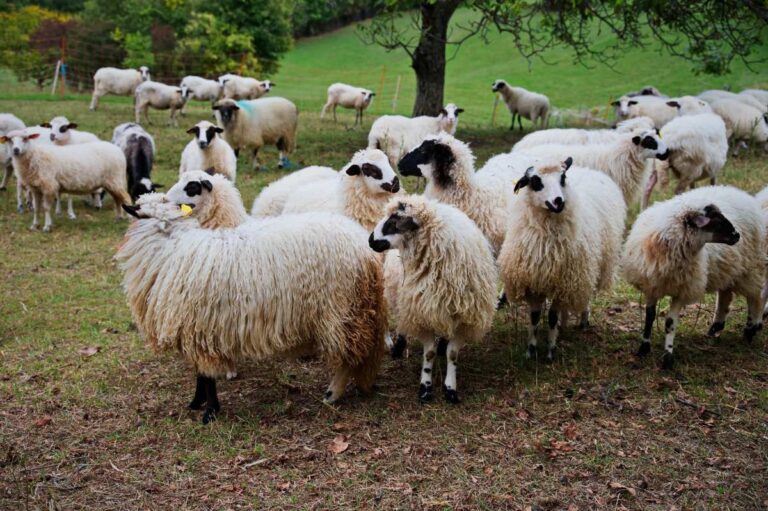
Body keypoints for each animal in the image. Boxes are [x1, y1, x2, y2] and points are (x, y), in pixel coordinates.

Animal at [1, 129, 130, 232]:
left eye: (25, 139)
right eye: (9, 140)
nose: (16, 150)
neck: (34, 156)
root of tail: (118, 149)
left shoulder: (48, 185)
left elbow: (46, 208)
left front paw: (47, 227)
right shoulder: (35, 188)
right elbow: (36, 208)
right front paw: (34, 226)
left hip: (116, 179)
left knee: (126, 198)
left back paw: (129, 219)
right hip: (112, 182)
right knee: (118, 199)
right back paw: (119, 218)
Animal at [116, 171, 386, 423]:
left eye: (191, 187)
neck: (171, 248)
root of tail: (362, 245)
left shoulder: (199, 327)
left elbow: (207, 375)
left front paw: (210, 411)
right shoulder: (195, 329)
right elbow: (200, 374)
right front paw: (196, 402)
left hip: (340, 310)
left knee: (349, 356)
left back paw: (333, 393)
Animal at [369, 195, 497, 403]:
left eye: (394, 222)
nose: (370, 240)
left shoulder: (463, 318)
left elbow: (452, 354)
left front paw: (450, 388)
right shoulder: (422, 315)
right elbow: (428, 354)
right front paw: (426, 387)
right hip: (404, 302)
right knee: (403, 325)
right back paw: (399, 347)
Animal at [498, 158, 626, 361]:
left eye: (562, 178)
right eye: (536, 181)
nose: (559, 201)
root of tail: (588, 170)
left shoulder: (562, 284)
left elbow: (551, 317)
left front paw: (550, 351)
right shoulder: (534, 283)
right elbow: (534, 317)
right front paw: (531, 350)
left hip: (588, 268)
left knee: (586, 294)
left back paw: (583, 320)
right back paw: (563, 323)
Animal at [621, 186, 765, 369]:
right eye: (716, 222)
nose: (736, 235)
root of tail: (739, 193)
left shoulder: (682, 290)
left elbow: (670, 322)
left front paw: (668, 356)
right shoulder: (652, 286)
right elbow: (650, 316)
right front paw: (644, 348)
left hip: (751, 268)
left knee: (755, 297)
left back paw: (751, 329)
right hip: (728, 269)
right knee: (726, 294)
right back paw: (715, 328)